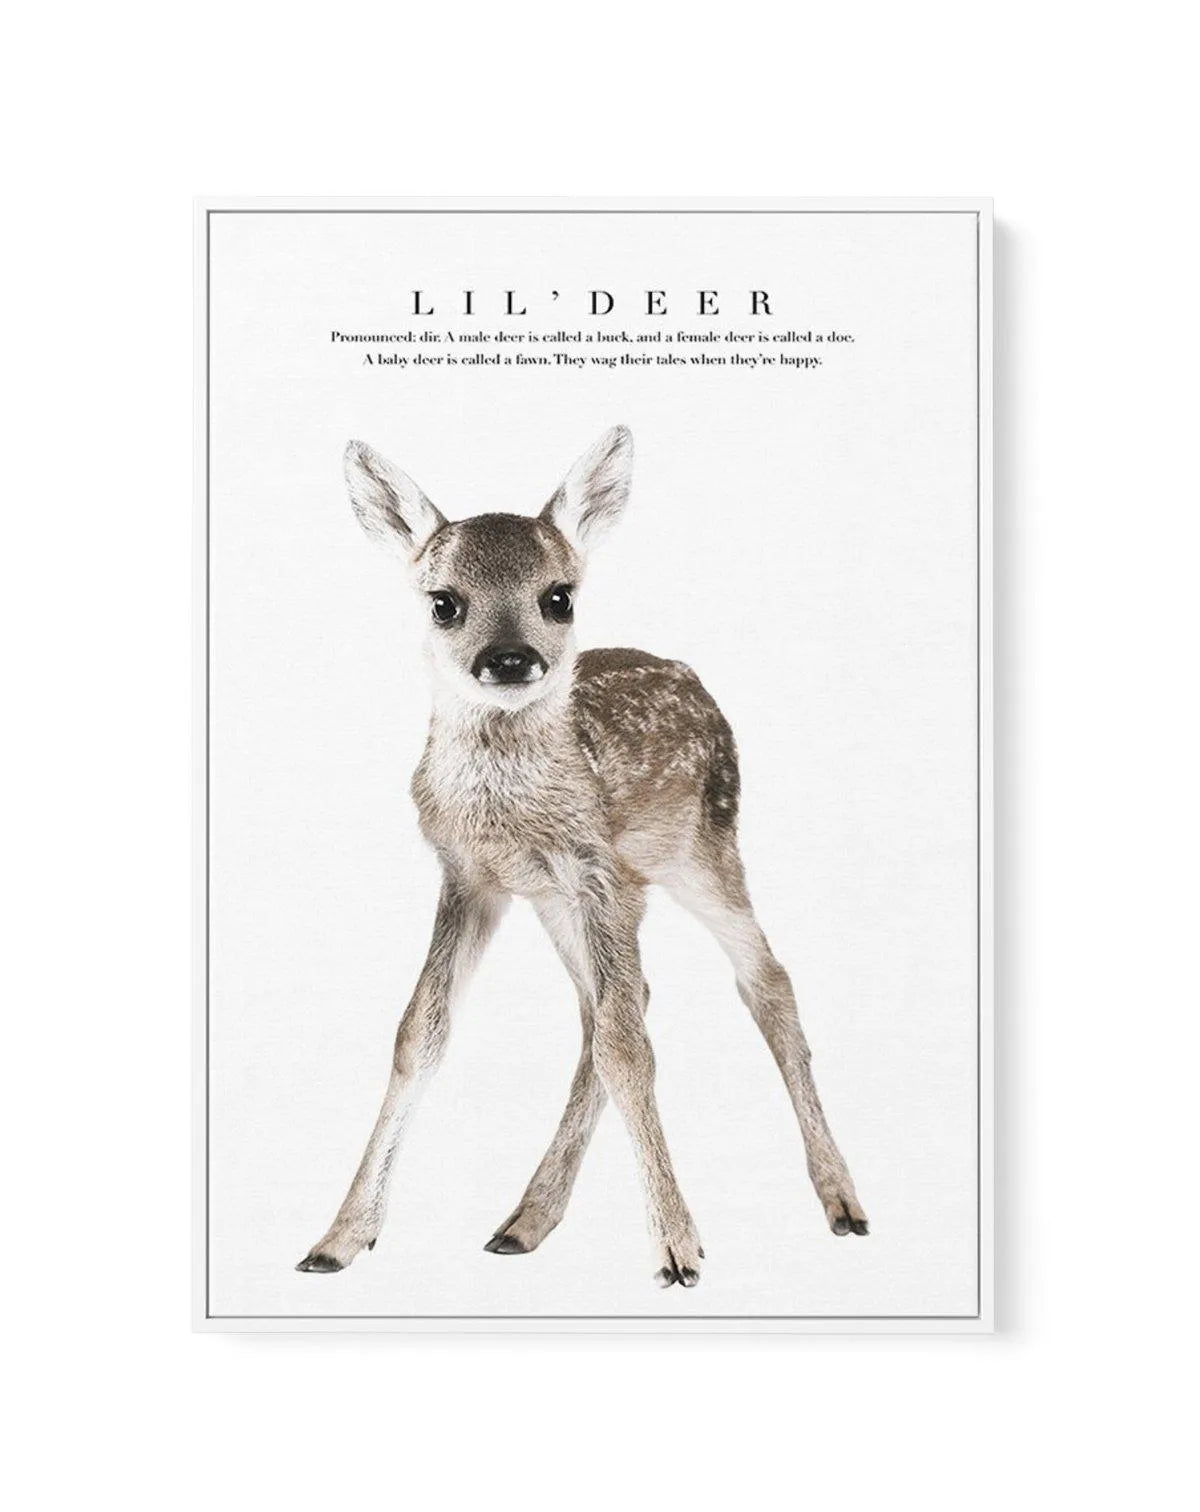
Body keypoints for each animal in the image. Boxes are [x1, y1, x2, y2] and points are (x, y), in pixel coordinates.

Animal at [296, 426, 867, 1288]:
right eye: (443, 602)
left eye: (558, 596)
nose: (509, 659)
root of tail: (692, 676)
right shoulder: (473, 876)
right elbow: (420, 1031)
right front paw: (339, 1237)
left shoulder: (598, 869)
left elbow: (628, 1048)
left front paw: (677, 1250)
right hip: (574, 900)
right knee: (614, 1006)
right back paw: (525, 1221)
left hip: (703, 849)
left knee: (762, 980)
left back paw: (842, 1201)